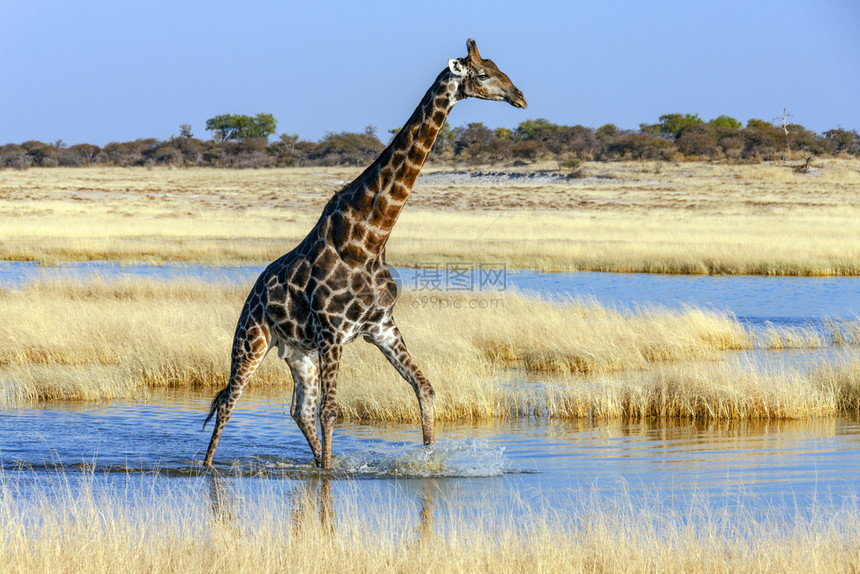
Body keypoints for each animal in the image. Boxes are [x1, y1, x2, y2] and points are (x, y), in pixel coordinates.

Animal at [203, 39, 524, 472]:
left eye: (500, 68)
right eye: (484, 74)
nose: (520, 97)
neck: (369, 241)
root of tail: (252, 295)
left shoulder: (381, 326)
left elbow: (424, 388)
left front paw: (430, 461)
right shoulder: (333, 332)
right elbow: (331, 412)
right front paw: (329, 475)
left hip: (299, 353)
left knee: (298, 410)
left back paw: (315, 461)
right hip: (251, 339)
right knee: (229, 404)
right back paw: (205, 467)